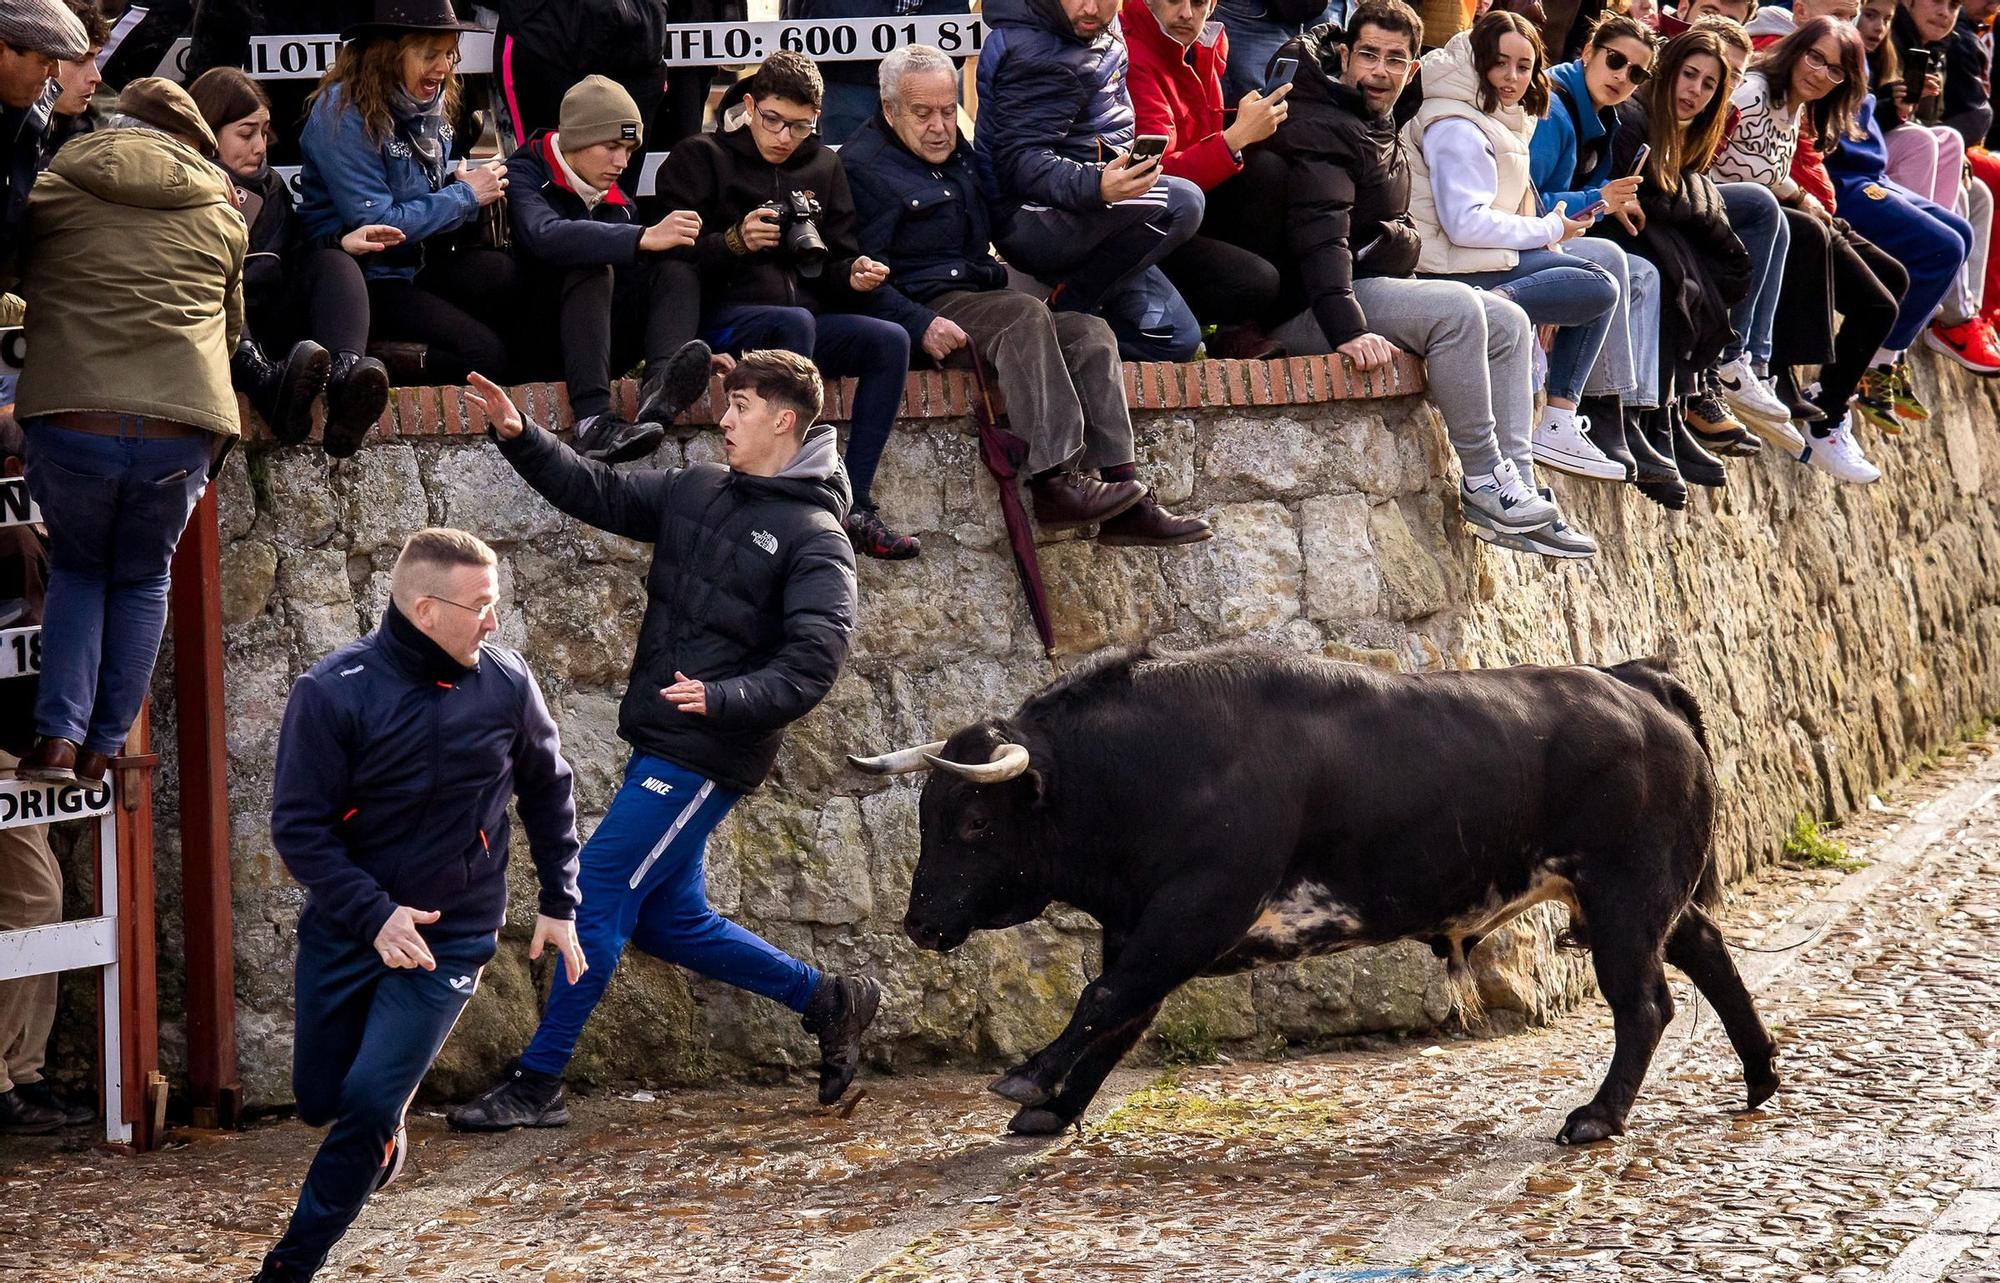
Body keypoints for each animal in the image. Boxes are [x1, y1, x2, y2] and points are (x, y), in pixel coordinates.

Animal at [848, 639, 1784, 1135]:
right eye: (930, 814)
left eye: (974, 821)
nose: (919, 921)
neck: (1154, 767)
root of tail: (1633, 681)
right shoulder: (1146, 925)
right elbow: (1119, 1010)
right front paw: (1055, 1103)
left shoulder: (1194, 911)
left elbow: (1102, 998)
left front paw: (1029, 1078)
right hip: (1647, 898)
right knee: (1708, 951)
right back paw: (1760, 1075)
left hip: (1625, 898)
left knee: (1646, 1003)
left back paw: (1598, 1115)